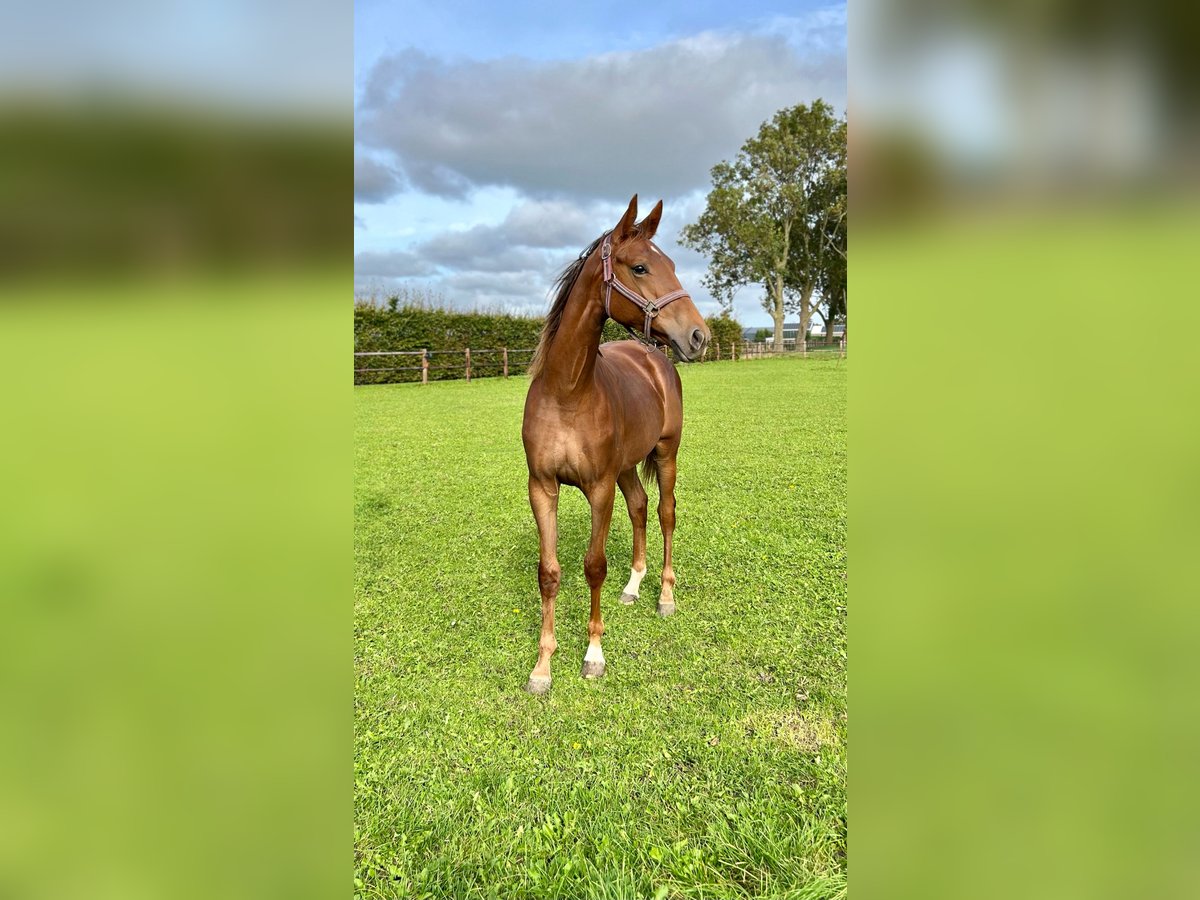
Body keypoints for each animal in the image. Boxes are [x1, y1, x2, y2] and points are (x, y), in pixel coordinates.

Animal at [520, 194, 705, 696]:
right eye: (640, 267)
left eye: (673, 264)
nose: (699, 335)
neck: (568, 392)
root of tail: (653, 357)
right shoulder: (542, 487)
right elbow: (549, 573)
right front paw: (542, 667)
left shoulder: (598, 487)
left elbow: (594, 565)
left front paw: (593, 655)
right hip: (626, 467)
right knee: (640, 506)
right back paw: (633, 586)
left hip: (665, 453)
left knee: (664, 513)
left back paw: (664, 596)